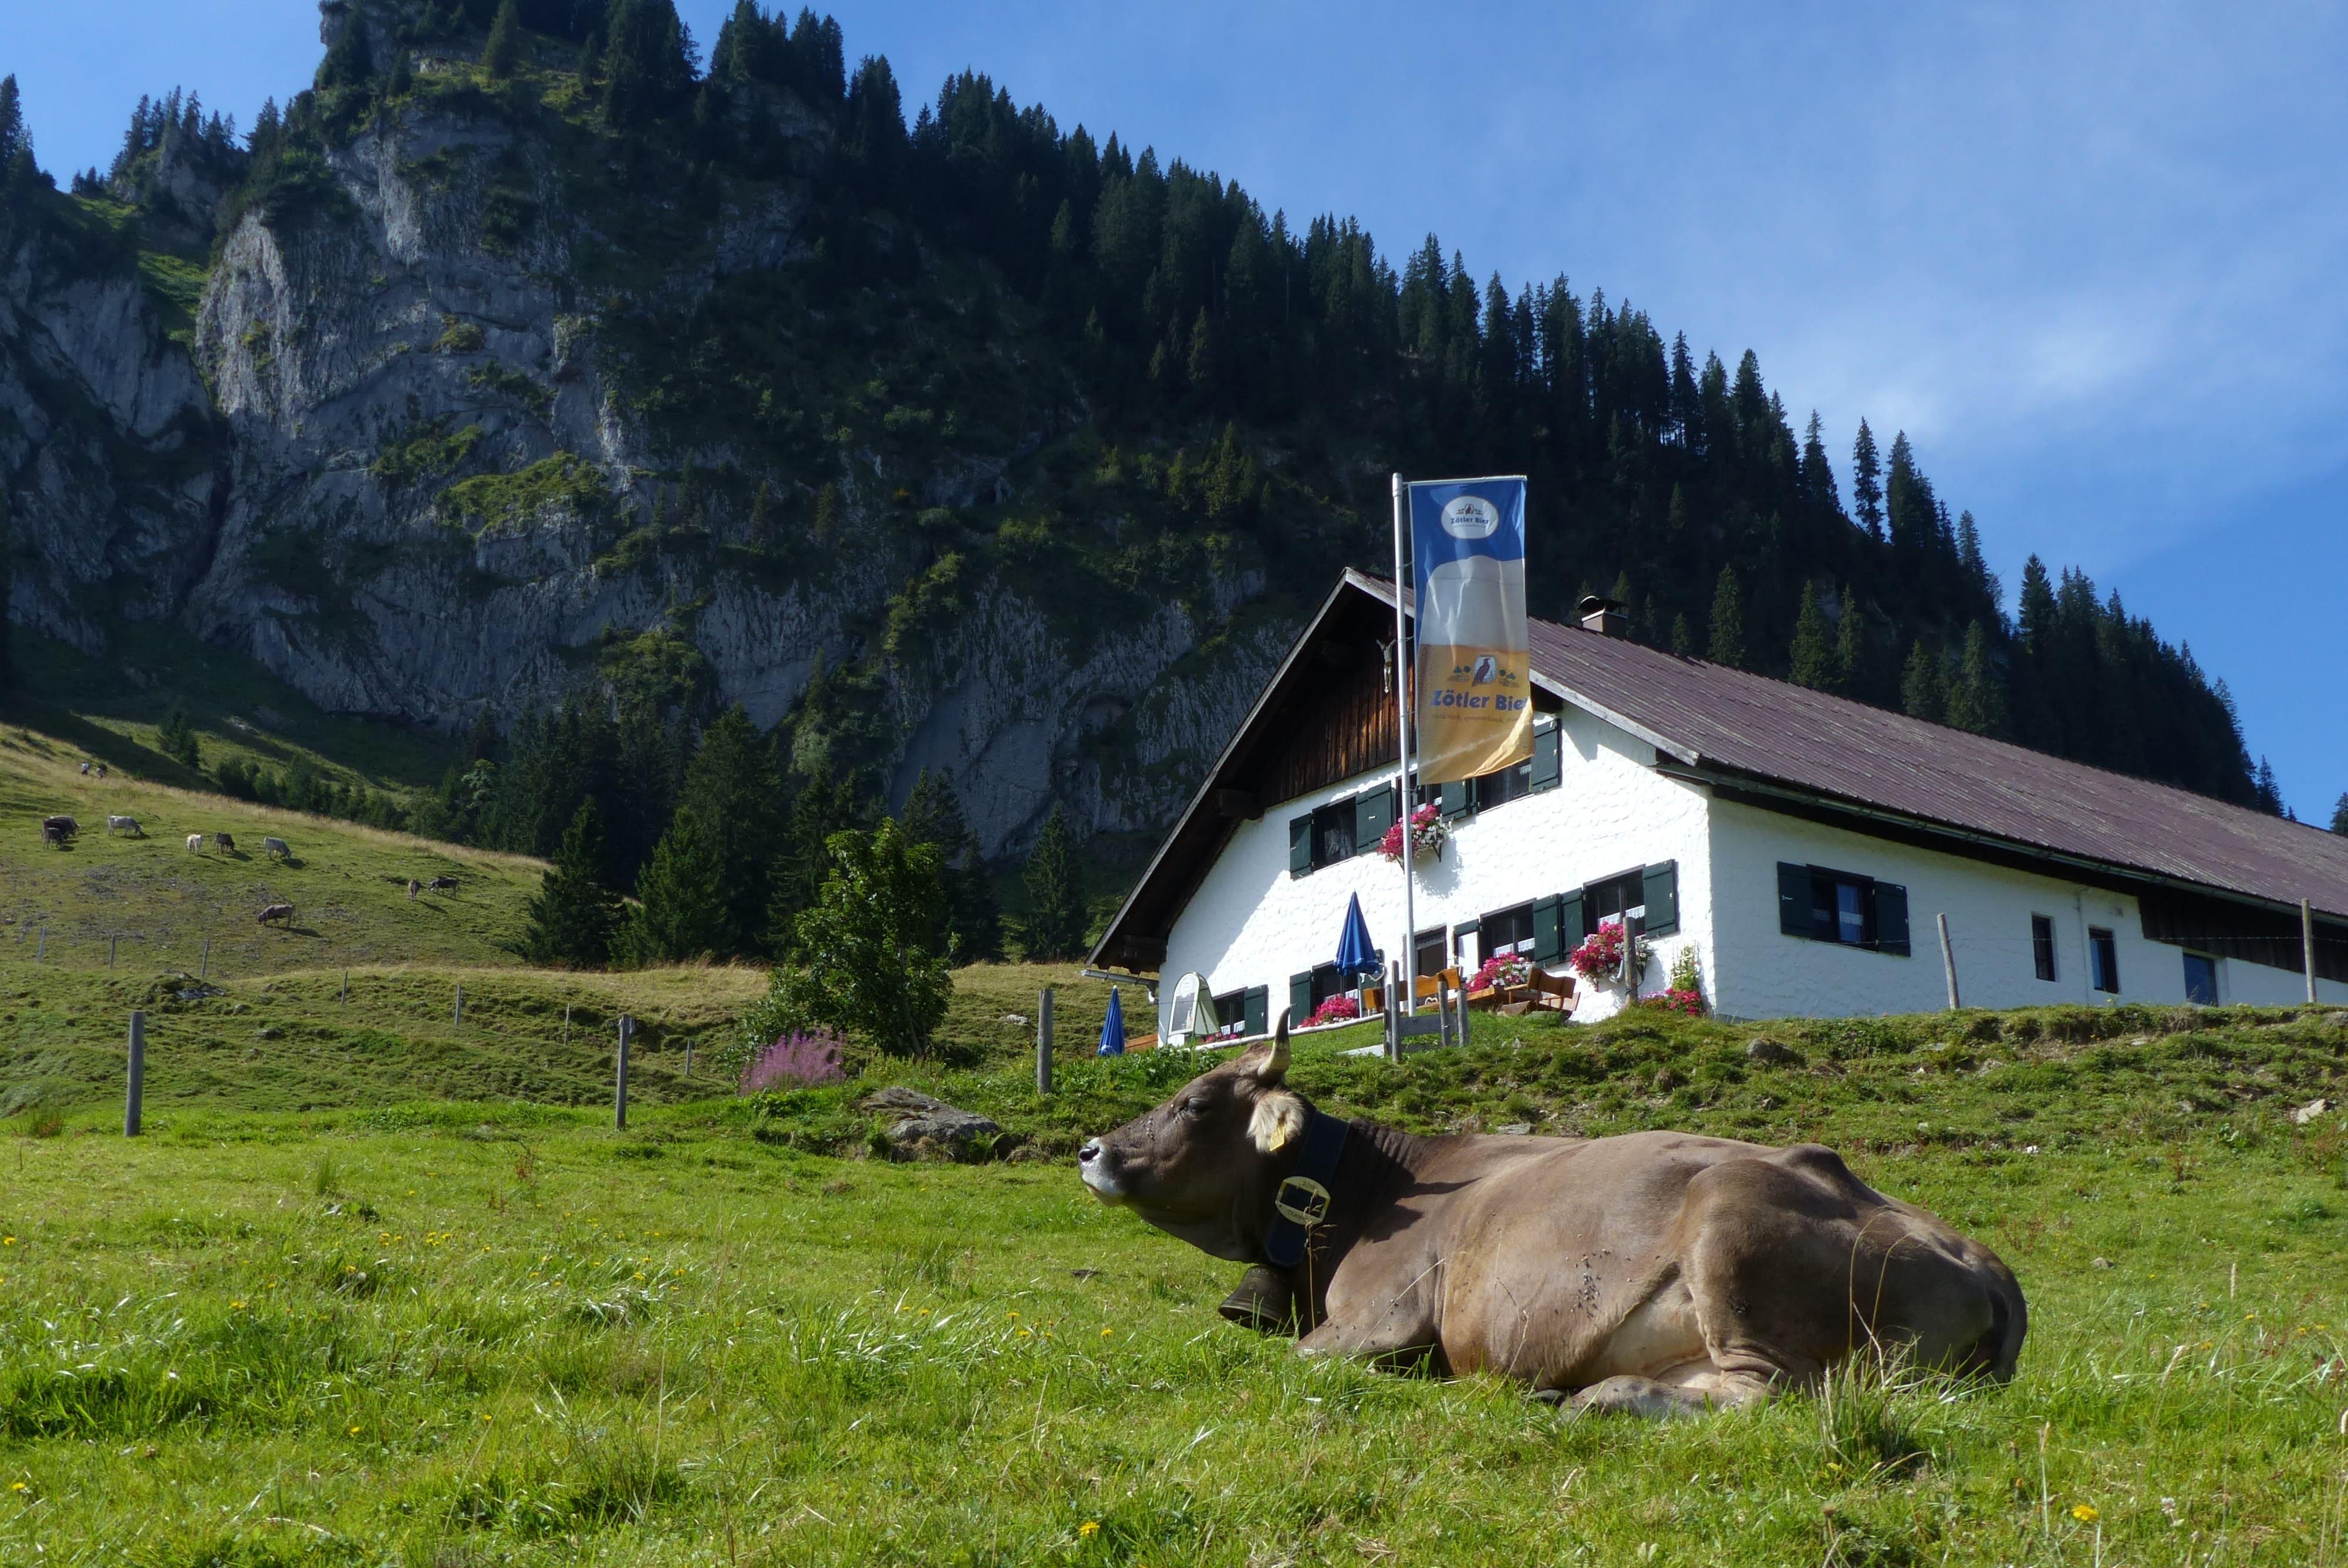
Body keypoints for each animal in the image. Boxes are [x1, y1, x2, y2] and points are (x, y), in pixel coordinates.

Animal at [1076, 1018, 2025, 1419]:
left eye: (1195, 1102)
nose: (1091, 1149)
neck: (1370, 1194)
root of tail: (1982, 1258)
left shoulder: (1380, 1317)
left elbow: (1290, 1362)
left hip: (1734, 1228)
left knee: (1771, 1393)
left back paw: (1602, 1399)